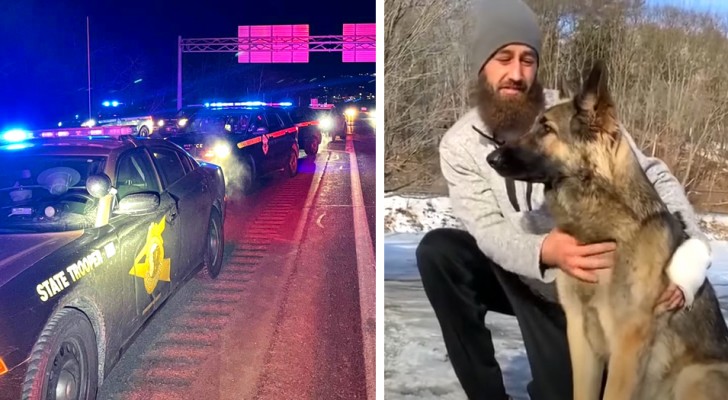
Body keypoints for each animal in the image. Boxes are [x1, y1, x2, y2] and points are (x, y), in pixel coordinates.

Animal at [486, 60, 728, 400]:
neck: (603, 224)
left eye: (546, 129)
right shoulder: (581, 335)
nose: (491, 156)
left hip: (692, 377)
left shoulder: (627, 344)